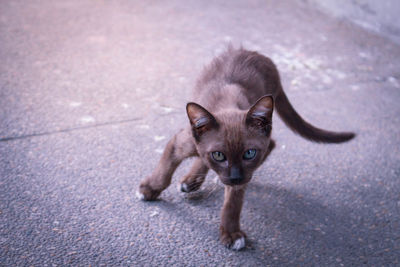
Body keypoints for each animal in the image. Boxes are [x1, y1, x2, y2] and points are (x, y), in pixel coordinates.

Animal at [136, 47, 354, 251]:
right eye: (218, 155)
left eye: (249, 153)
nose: (235, 177)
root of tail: (255, 53)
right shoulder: (181, 143)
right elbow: (165, 169)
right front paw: (150, 189)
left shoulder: (242, 175)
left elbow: (232, 204)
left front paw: (231, 234)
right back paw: (192, 181)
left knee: (271, 144)